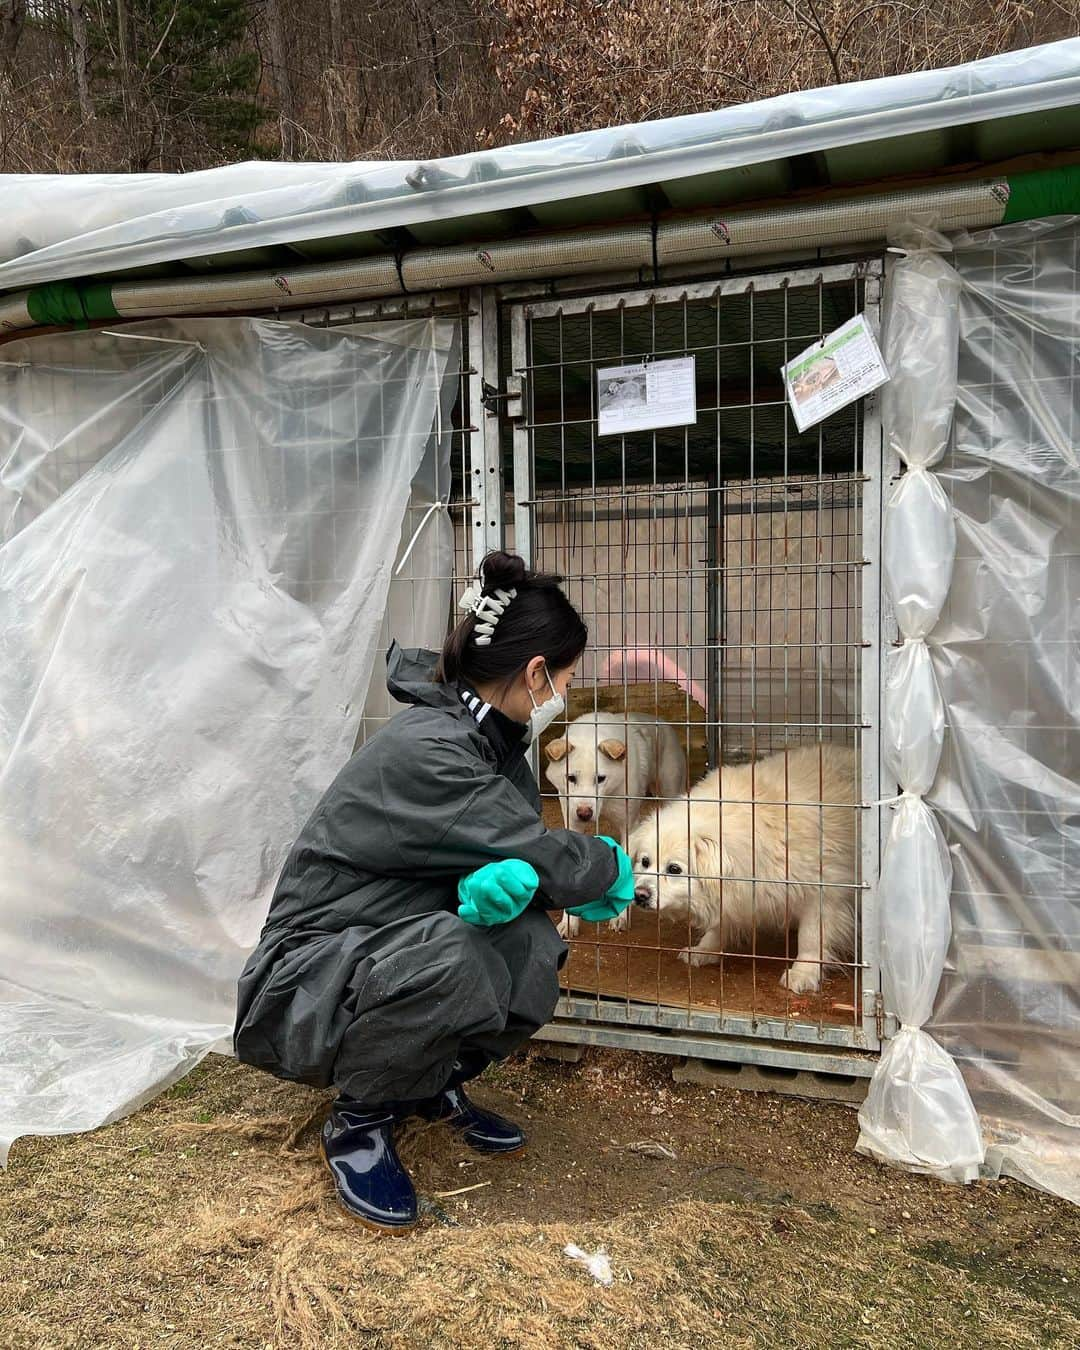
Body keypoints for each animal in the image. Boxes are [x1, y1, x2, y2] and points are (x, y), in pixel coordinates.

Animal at [545, 707, 688, 939]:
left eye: (600, 778)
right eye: (570, 778)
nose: (584, 813)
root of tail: (659, 720)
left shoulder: (628, 827)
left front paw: (620, 917)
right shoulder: (572, 822)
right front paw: (569, 921)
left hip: (670, 790)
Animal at [629, 745, 858, 999]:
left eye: (674, 869)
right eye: (645, 862)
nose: (639, 895)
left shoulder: (823, 893)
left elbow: (810, 938)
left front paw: (803, 973)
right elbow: (719, 925)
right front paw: (705, 949)